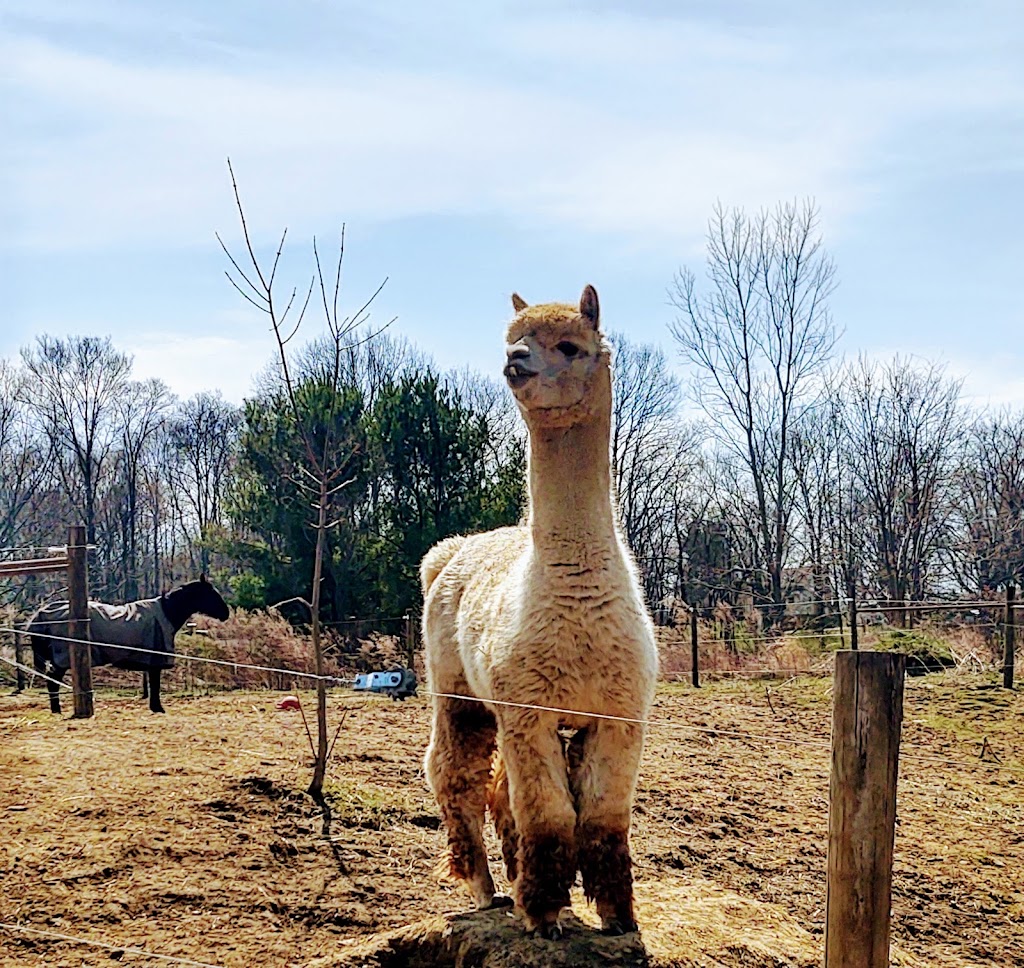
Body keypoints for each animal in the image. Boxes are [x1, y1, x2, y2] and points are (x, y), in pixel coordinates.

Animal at [28, 577, 230, 712]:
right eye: (211, 594)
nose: (226, 613)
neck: (166, 611)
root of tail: (41, 615)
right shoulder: (155, 660)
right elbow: (155, 685)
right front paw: (158, 708)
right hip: (61, 660)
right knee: (52, 681)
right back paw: (56, 709)